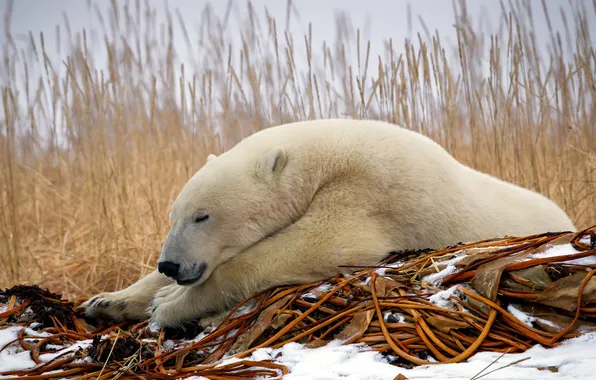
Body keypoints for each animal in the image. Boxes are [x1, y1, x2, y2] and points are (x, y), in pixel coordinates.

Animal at [80, 118, 576, 326]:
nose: (170, 265)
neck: (323, 156)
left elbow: (320, 245)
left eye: (202, 215)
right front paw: (108, 302)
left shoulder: (368, 189)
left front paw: (168, 305)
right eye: (174, 215)